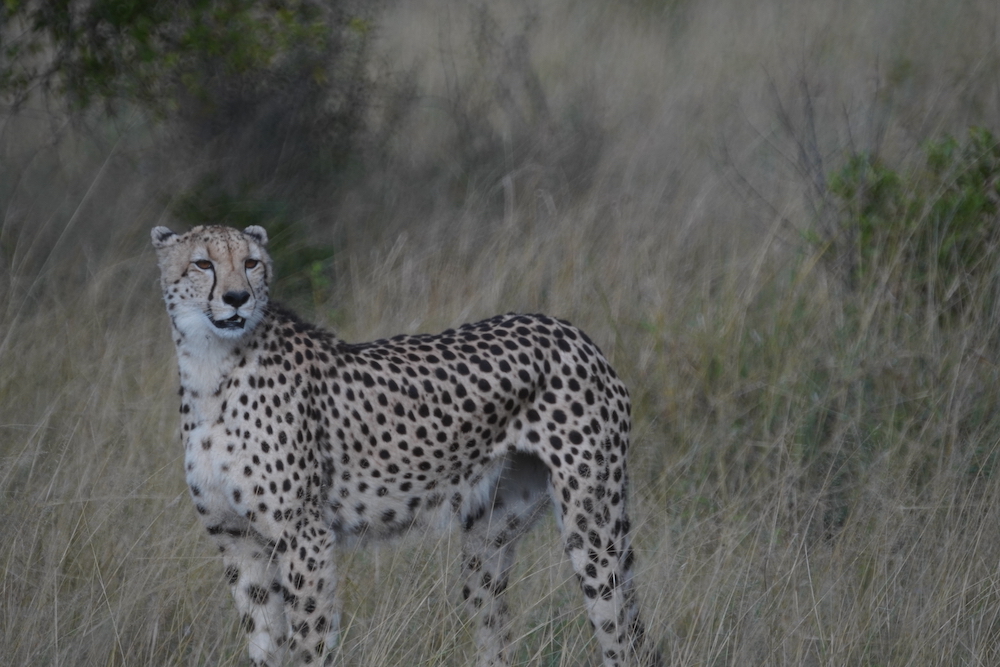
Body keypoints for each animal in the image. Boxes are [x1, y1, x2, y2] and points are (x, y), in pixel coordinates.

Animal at [152, 226, 660, 667]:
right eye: (203, 263)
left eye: (251, 262)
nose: (238, 297)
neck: (210, 368)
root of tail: (567, 329)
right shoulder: (238, 541)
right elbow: (264, 642)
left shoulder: (304, 538)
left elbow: (309, 642)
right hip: (488, 541)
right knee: (497, 635)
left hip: (593, 527)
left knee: (620, 635)